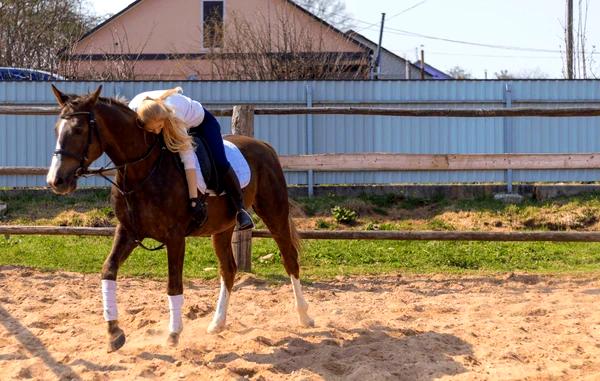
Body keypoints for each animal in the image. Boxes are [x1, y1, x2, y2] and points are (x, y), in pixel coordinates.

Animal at [47, 85, 314, 350]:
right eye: (56, 129)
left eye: (79, 130)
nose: (56, 181)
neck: (142, 170)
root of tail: (263, 145)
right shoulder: (127, 232)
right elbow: (108, 270)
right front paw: (114, 332)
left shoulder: (174, 237)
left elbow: (174, 283)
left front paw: (173, 333)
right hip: (222, 228)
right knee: (228, 269)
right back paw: (217, 323)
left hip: (274, 213)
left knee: (290, 259)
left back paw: (305, 317)